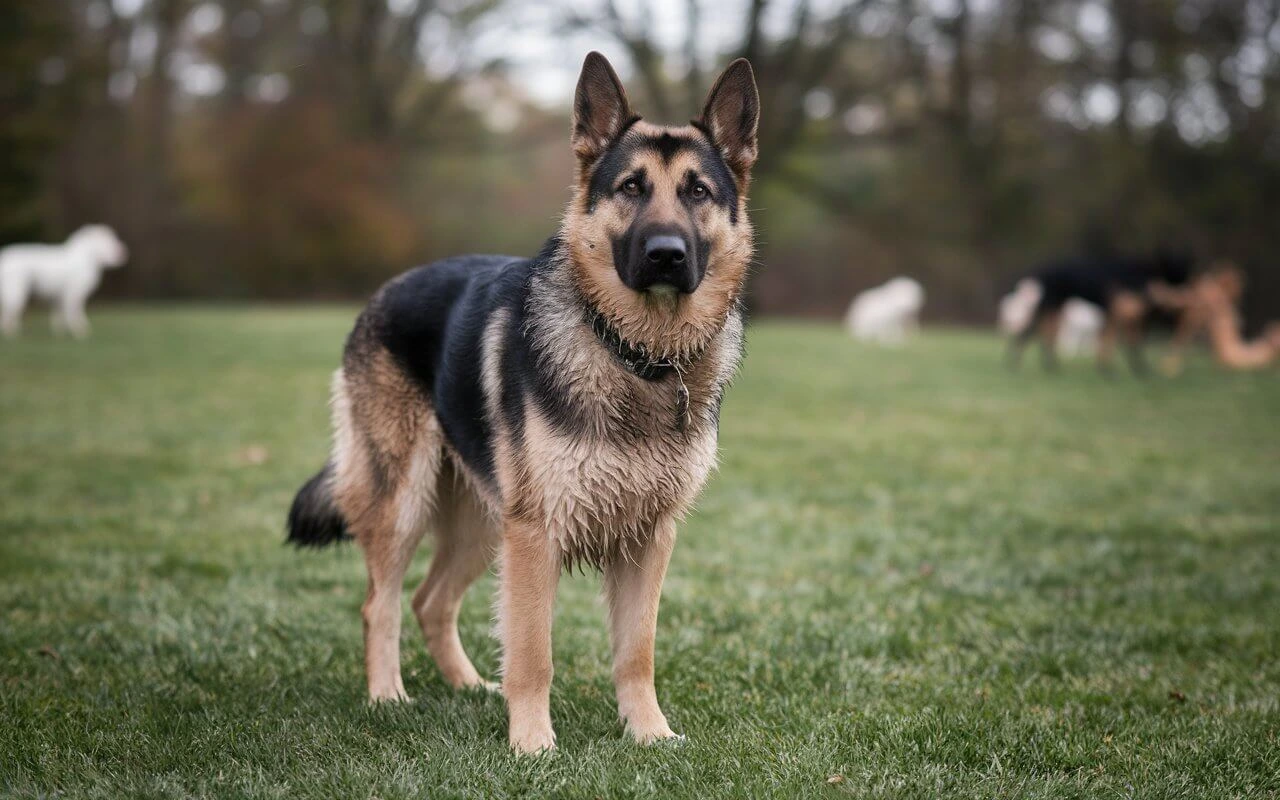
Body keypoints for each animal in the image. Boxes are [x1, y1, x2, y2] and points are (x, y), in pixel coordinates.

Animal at [0, 225, 128, 337]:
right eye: (109, 240)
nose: (123, 251)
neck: (86, 258)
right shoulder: (74, 294)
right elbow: (74, 314)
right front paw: (80, 331)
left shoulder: (60, 296)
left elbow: (59, 316)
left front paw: (61, 333)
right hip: (16, 294)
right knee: (7, 316)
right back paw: (11, 334)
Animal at [285, 53, 752, 752]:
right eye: (631, 188)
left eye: (698, 192)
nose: (666, 255)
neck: (633, 352)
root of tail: (385, 291)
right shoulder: (536, 536)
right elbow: (534, 653)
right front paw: (533, 745)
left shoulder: (649, 539)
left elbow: (636, 651)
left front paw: (648, 734)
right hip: (410, 504)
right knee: (381, 603)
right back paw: (387, 696)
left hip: (484, 522)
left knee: (430, 601)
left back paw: (468, 687)